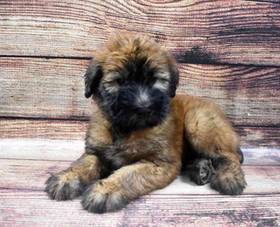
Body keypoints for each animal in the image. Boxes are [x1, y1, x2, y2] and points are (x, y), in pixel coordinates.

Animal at [44, 33, 246, 213]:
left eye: (155, 80)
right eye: (120, 81)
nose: (143, 107)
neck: (125, 129)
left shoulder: (157, 163)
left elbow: (128, 174)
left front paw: (106, 190)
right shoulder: (96, 152)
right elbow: (82, 164)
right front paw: (66, 178)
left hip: (198, 123)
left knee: (228, 155)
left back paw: (229, 177)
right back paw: (200, 168)